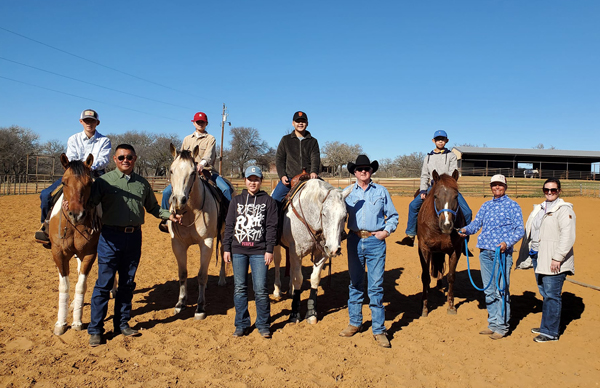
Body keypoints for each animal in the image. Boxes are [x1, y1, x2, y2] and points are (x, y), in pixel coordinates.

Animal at [48, 153, 101, 334]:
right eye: (64, 182)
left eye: (89, 182)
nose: (76, 214)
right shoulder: (58, 254)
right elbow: (64, 286)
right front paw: (60, 323)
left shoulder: (90, 253)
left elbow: (81, 286)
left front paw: (77, 322)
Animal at [166, 144, 227, 320]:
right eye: (171, 170)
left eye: (193, 172)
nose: (179, 200)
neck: (190, 212)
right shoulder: (177, 244)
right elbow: (182, 273)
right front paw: (180, 303)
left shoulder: (207, 242)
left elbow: (201, 275)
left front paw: (200, 306)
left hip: (223, 235)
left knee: (223, 254)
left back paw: (222, 279)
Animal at [274, 180, 352, 324]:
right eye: (324, 214)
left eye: (345, 216)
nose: (334, 249)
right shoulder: (297, 252)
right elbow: (299, 279)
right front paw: (295, 313)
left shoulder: (321, 254)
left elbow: (314, 279)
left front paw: (311, 313)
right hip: (276, 246)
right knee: (277, 262)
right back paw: (277, 290)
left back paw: (291, 289)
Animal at [418, 171, 464, 318]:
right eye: (436, 196)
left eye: (456, 196)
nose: (447, 225)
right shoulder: (424, 249)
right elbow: (425, 276)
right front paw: (424, 308)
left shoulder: (456, 250)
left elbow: (451, 277)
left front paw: (451, 306)